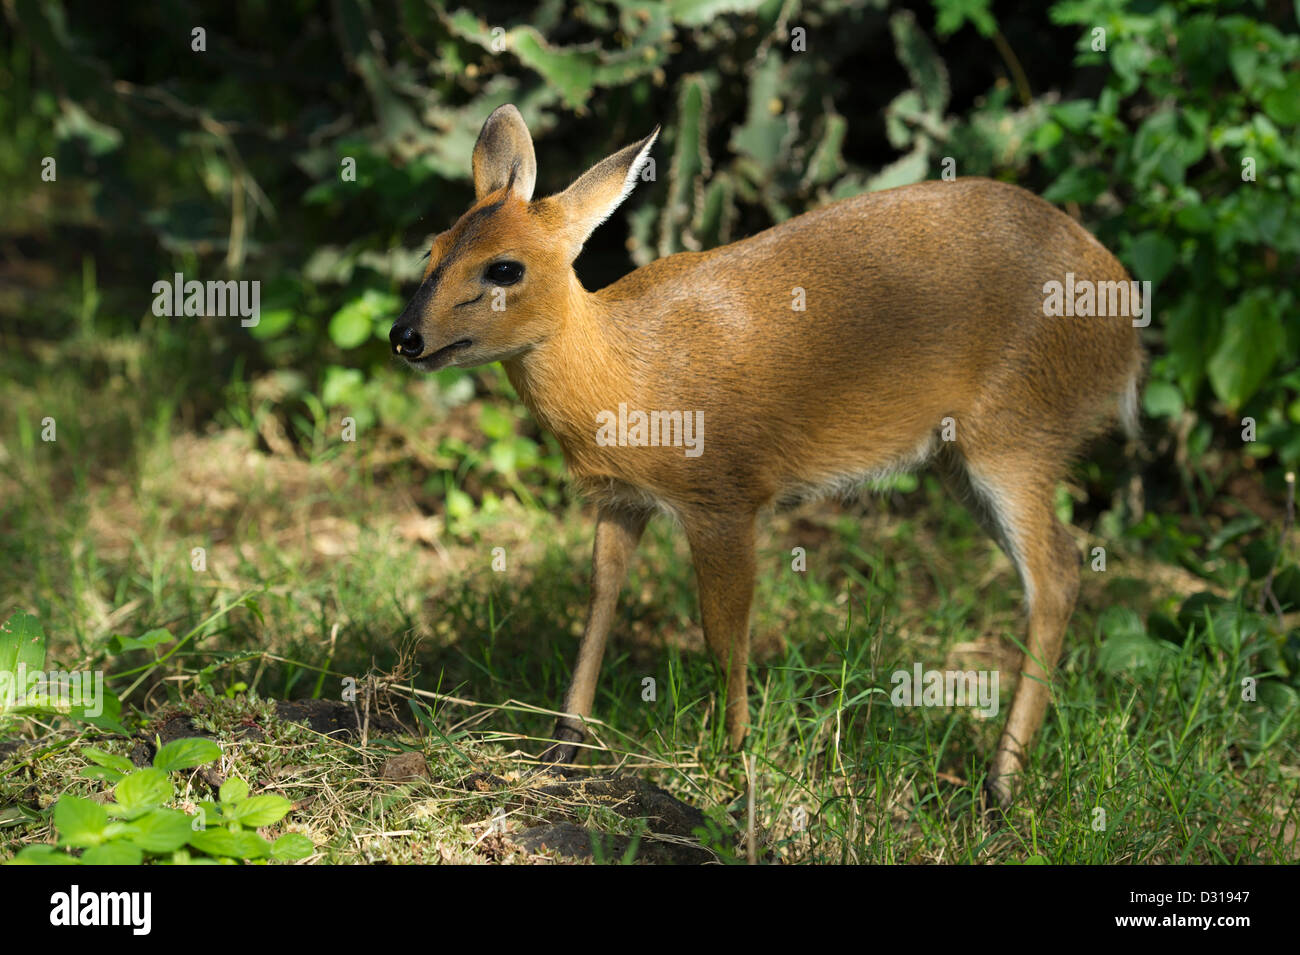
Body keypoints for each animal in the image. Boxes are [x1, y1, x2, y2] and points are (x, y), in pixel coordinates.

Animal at [390, 104, 1144, 805]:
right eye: (433, 249)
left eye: (505, 267)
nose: (405, 337)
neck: (630, 377)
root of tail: (1124, 314)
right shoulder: (622, 499)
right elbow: (600, 597)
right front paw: (561, 749)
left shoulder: (727, 495)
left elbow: (725, 632)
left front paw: (737, 764)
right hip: (962, 457)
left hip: (1016, 435)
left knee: (1058, 571)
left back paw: (1001, 784)